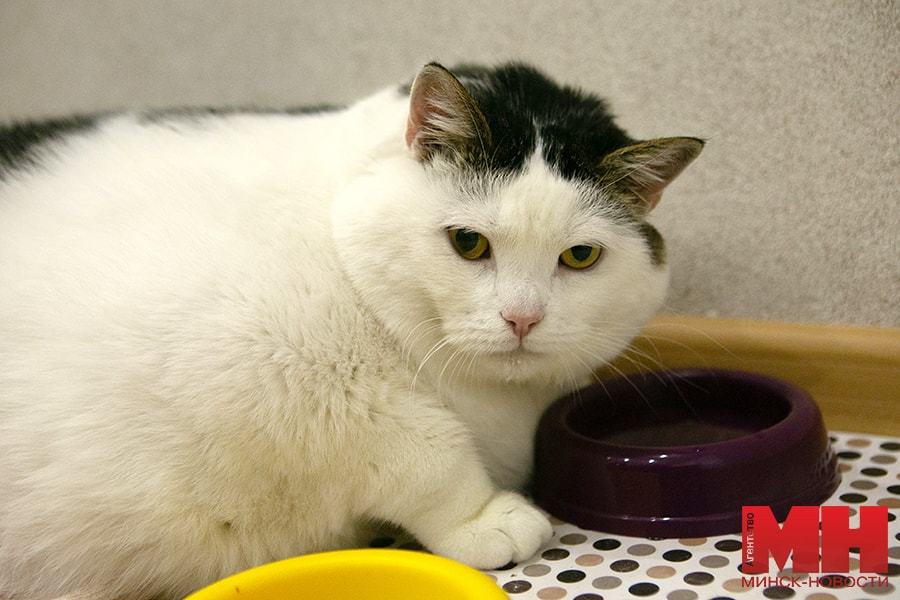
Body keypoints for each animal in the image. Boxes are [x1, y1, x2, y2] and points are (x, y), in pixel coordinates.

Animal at [0, 63, 704, 596]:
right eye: (469, 243)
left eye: (580, 257)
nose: (522, 318)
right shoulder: (245, 355)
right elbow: (413, 438)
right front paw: (482, 516)